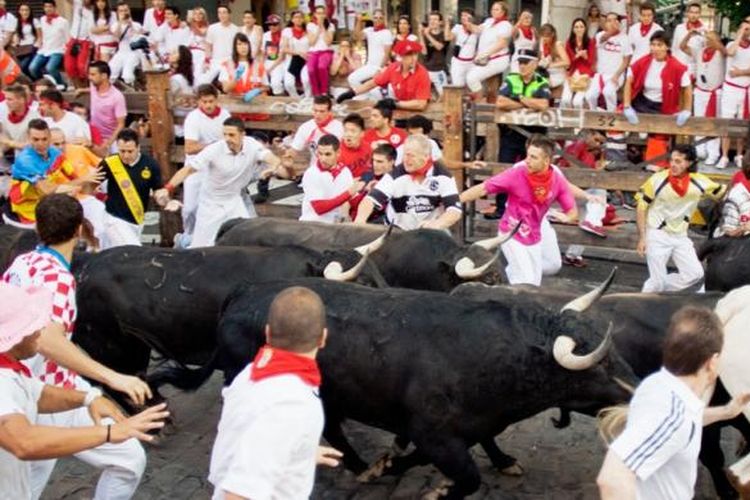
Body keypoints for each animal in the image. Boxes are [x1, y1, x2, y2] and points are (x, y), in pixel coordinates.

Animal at [156, 278, 636, 500]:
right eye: (602, 364)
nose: (634, 388)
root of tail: (243, 293)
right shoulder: (436, 433)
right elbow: (466, 476)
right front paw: (428, 484)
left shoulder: (462, 427)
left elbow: (464, 448)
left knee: (333, 427)